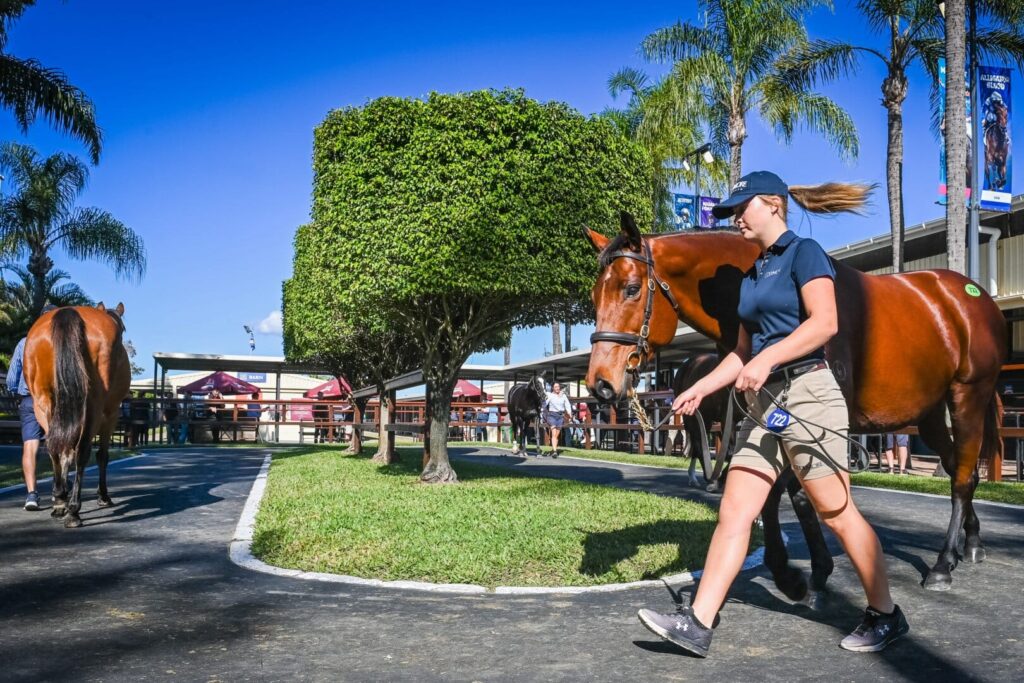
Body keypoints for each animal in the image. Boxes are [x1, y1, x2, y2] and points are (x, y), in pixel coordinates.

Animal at [25, 303, 132, 528]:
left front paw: (61, 498)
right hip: (94, 404)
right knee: (83, 452)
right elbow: (101, 455)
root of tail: (69, 312)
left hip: (43, 403)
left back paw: (60, 502)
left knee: (54, 448)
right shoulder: (110, 414)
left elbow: (66, 453)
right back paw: (74, 510)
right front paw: (103, 496)